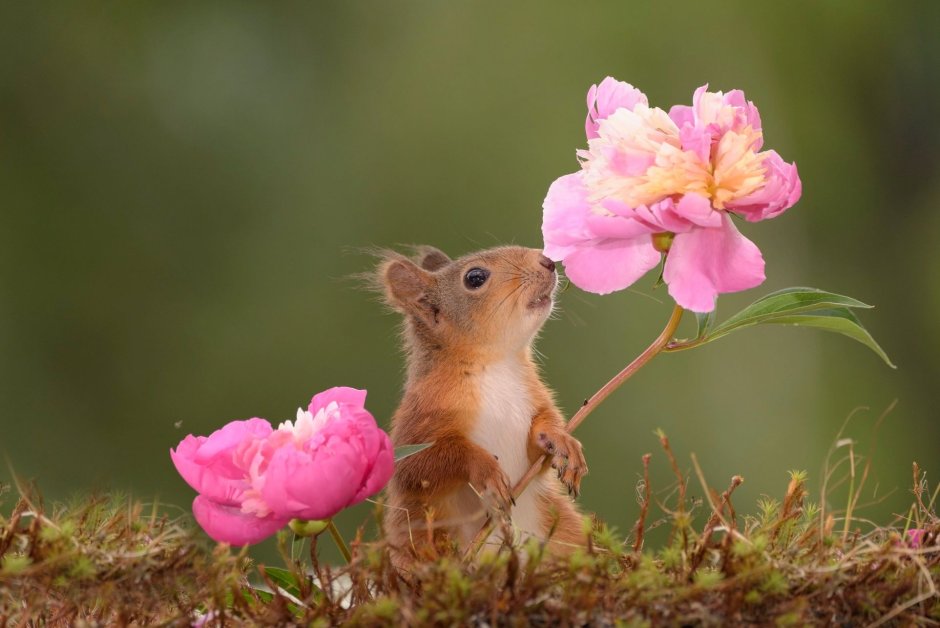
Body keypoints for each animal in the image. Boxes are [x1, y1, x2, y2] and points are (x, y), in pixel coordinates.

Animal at [376, 245, 584, 564]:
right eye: (475, 278)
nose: (547, 261)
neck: (494, 364)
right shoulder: (420, 416)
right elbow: (419, 466)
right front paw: (486, 471)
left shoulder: (533, 396)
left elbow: (540, 438)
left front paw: (561, 440)